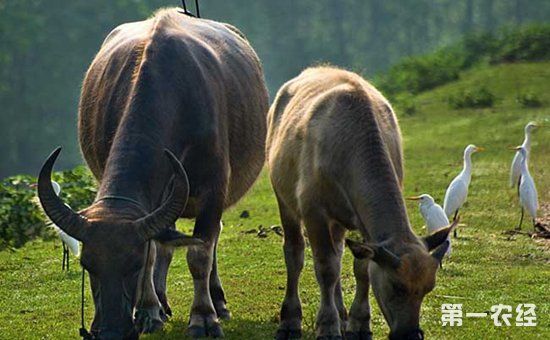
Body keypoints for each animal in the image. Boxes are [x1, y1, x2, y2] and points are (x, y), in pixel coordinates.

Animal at [37, 8, 270, 340]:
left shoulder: (214, 190)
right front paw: (148, 311)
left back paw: (217, 302)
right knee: (165, 245)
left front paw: (204, 317)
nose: (111, 331)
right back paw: (160, 302)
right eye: (88, 265)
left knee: (208, 241)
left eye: (131, 265)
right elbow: (156, 250)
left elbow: (199, 254)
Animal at [266, 66, 452, 340]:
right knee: (295, 254)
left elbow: (361, 267)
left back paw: (342, 315)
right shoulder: (314, 212)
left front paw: (359, 322)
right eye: (396, 287)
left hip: (338, 220)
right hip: (284, 199)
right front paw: (328, 325)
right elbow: (325, 268)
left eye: (428, 288)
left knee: (338, 252)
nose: (410, 335)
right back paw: (291, 320)